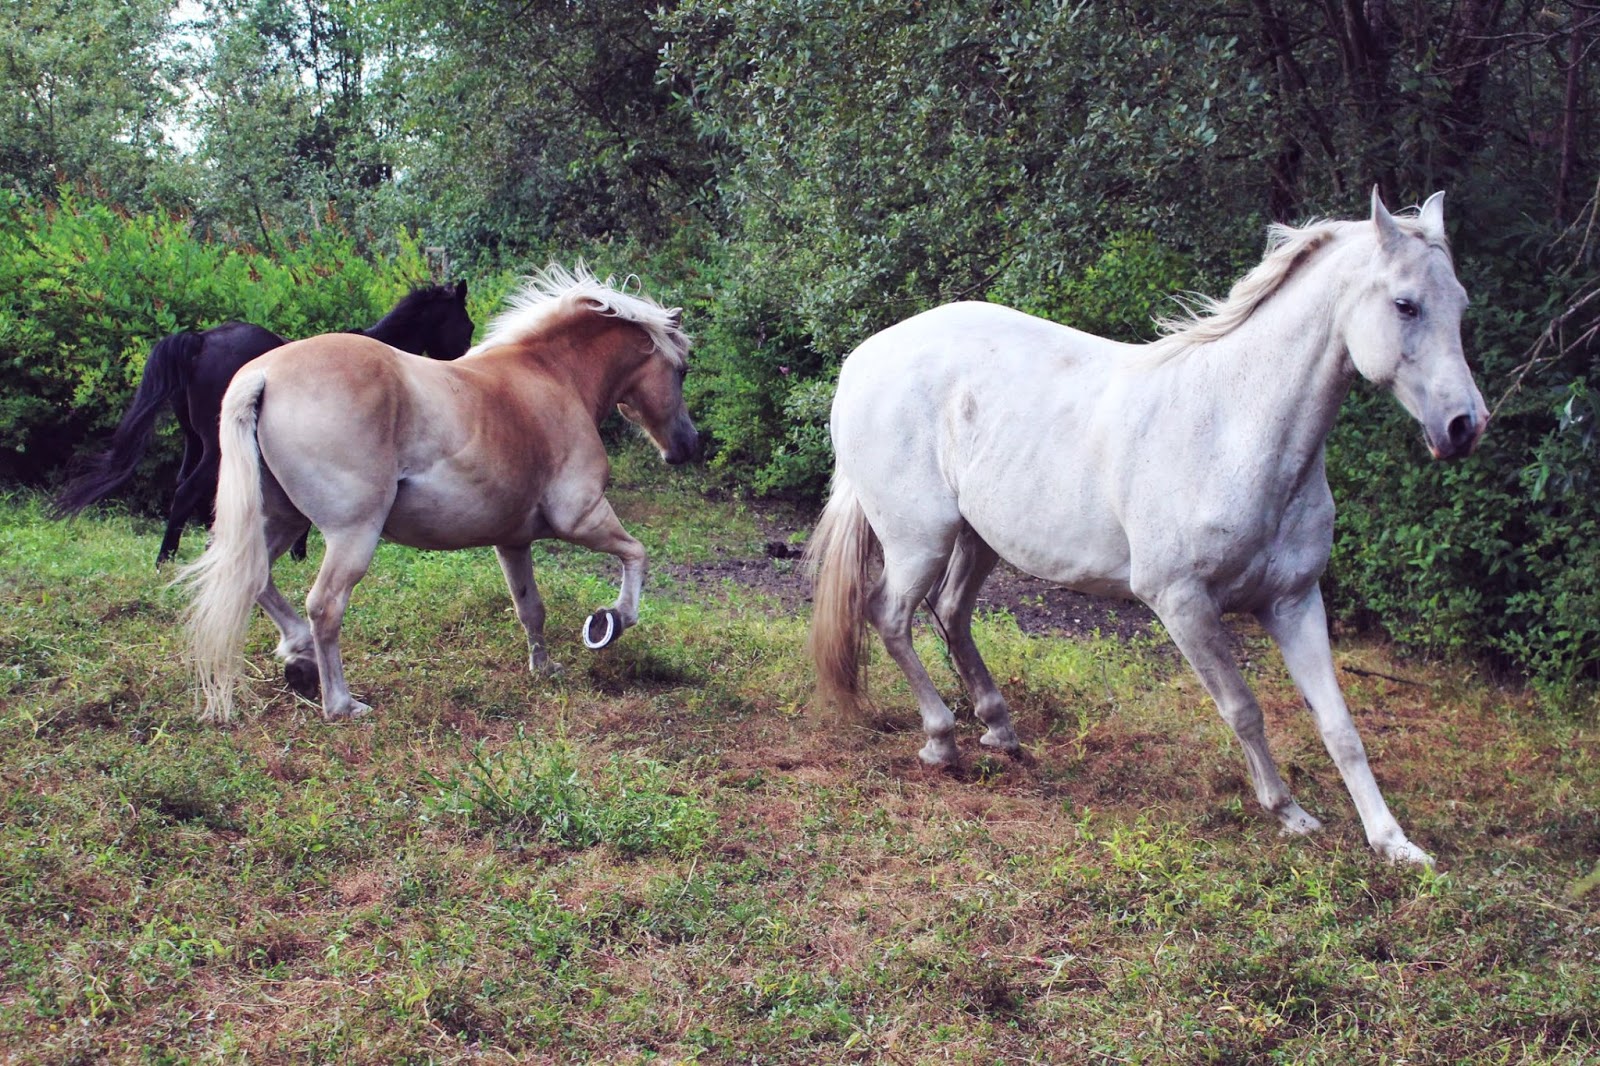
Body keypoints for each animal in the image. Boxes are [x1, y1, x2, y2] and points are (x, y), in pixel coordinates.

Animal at [53, 281, 474, 565]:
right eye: (466, 325)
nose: (465, 363)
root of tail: (200, 340)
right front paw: (300, 554)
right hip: (216, 447)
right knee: (187, 492)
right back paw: (166, 560)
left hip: (196, 442)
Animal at [181, 265, 698, 725]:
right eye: (682, 371)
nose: (688, 444)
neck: (552, 377)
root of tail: (264, 374)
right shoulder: (582, 516)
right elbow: (636, 555)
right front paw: (611, 623)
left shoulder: (513, 540)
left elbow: (530, 607)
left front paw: (544, 668)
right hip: (352, 535)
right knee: (324, 607)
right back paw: (341, 703)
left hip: (284, 521)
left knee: (257, 578)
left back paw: (299, 657)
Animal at [806, 190, 1486, 866]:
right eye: (1405, 304)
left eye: (1460, 303)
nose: (1464, 426)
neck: (1235, 427)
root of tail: (861, 359)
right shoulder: (1181, 602)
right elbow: (1243, 708)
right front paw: (1286, 812)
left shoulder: (1294, 601)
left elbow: (1339, 724)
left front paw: (1395, 844)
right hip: (919, 540)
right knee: (891, 616)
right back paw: (942, 741)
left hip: (978, 539)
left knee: (950, 613)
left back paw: (1000, 729)